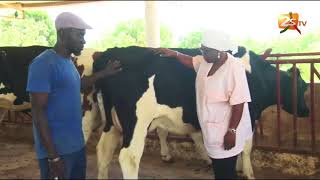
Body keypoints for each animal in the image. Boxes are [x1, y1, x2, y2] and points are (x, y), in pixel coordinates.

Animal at [92, 45, 310, 178]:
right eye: (302, 87)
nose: (307, 111)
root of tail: (111, 53)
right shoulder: (248, 112)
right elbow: (247, 146)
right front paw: (248, 172)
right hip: (137, 121)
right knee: (128, 157)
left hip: (111, 122)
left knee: (103, 151)